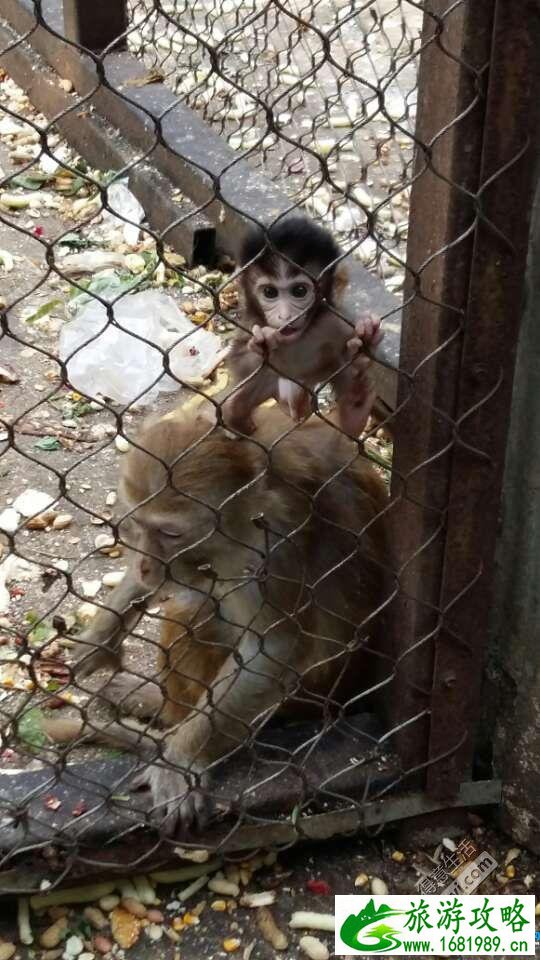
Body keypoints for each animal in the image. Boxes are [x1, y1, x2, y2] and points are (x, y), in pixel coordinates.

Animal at [53, 402, 392, 836]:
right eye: (136, 527)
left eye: (171, 533)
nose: (146, 565)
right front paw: (102, 634)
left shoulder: (276, 545)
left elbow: (276, 648)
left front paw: (180, 758)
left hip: (303, 702)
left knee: (194, 613)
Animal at [224, 216, 384, 436]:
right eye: (270, 292)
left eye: (299, 291)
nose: (285, 316)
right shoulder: (251, 320)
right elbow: (239, 361)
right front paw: (263, 342)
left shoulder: (334, 322)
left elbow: (347, 353)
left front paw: (366, 340)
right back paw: (237, 418)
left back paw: (354, 411)